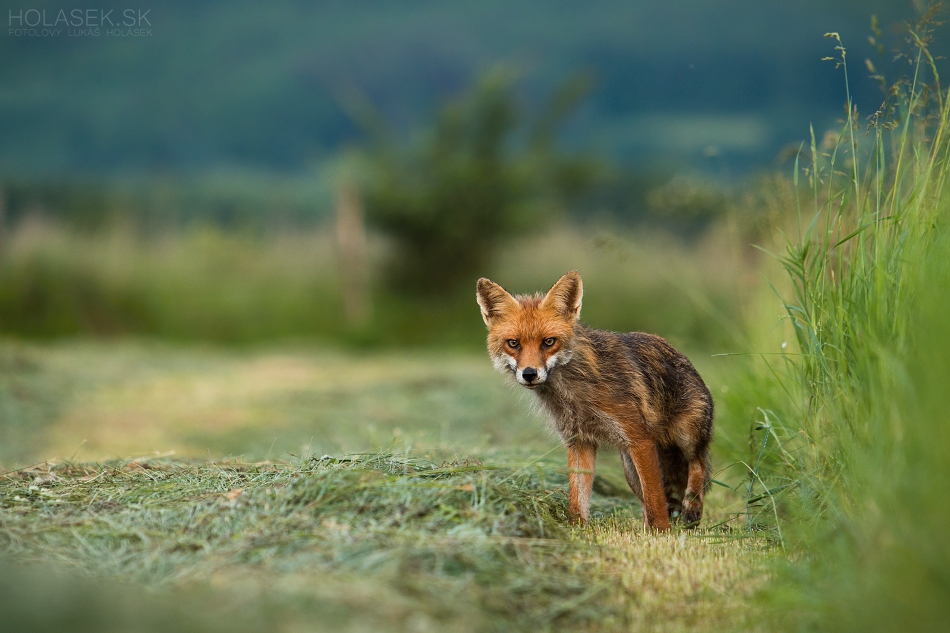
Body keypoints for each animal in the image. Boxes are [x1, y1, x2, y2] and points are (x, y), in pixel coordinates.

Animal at [476, 268, 712, 528]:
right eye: (513, 343)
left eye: (548, 342)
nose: (529, 374)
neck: (574, 392)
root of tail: (683, 357)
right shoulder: (579, 441)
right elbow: (578, 499)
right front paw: (577, 529)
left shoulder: (640, 439)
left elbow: (656, 501)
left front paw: (662, 531)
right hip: (630, 467)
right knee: (645, 499)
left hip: (684, 437)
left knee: (698, 463)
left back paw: (692, 508)